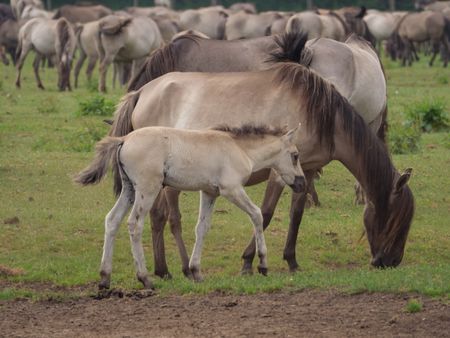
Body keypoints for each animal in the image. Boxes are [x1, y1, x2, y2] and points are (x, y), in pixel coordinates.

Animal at [76, 125, 306, 290]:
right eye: (295, 155)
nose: (301, 183)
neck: (239, 148)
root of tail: (124, 139)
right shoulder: (231, 189)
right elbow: (257, 214)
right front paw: (263, 264)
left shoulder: (210, 193)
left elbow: (202, 228)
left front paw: (196, 272)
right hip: (147, 189)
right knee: (134, 224)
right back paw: (145, 278)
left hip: (129, 190)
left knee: (112, 220)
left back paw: (105, 278)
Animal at [106, 62, 414, 278]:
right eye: (395, 218)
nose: (390, 261)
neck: (320, 114)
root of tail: (141, 92)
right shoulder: (279, 173)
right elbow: (264, 214)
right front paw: (249, 262)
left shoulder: (304, 172)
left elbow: (296, 215)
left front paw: (291, 260)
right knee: (161, 217)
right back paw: (168, 269)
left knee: (159, 217)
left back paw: (167, 269)